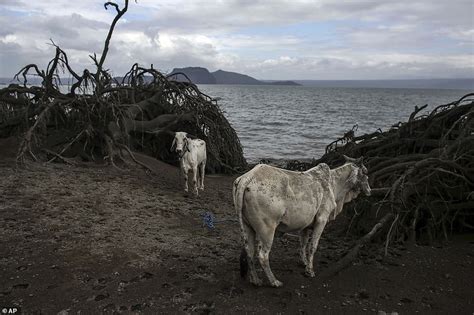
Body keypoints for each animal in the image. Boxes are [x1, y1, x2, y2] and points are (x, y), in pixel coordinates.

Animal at [233, 157, 370, 288]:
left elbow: (303, 244)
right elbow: (312, 246)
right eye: (365, 172)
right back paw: (274, 281)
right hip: (267, 229)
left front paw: (303, 262)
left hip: (247, 226)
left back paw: (255, 280)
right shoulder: (322, 220)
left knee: (249, 252)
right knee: (263, 255)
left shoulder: (305, 226)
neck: (334, 184)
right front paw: (309, 271)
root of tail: (247, 177)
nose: (369, 190)